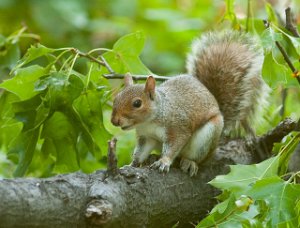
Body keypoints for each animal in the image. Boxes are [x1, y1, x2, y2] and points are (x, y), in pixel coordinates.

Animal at [110, 29, 270, 176]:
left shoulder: (177, 127)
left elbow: (174, 146)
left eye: (137, 103)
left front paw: (164, 161)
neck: (150, 120)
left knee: (196, 158)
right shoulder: (147, 137)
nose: (114, 121)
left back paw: (189, 162)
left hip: (207, 136)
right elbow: (140, 152)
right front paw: (132, 164)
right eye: (116, 98)